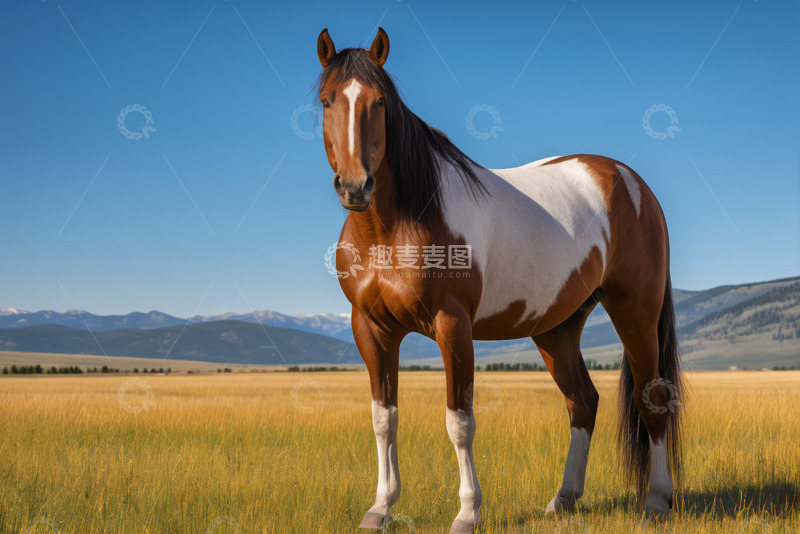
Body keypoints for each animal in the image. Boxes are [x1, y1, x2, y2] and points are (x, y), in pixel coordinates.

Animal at [316, 27, 682, 533]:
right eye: (327, 101)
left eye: (380, 102)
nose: (355, 187)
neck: (394, 227)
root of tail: (633, 183)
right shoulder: (371, 328)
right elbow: (384, 418)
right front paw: (381, 508)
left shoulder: (452, 326)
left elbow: (459, 421)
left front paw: (467, 512)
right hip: (557, 327)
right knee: (582, 401)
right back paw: (564, 499)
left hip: (636, 312)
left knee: (654, 398)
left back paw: (657, 502)